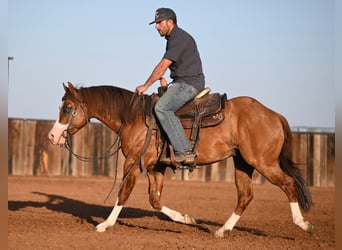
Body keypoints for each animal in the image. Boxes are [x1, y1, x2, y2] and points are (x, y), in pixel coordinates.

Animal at [47, 81, 312, 236]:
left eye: (68, 107)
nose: (52, 135)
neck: (133, 116)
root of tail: (274, 115)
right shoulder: (155, 168)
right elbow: (155, 200)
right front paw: (186, 219)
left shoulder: (133, 164)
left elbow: (123, 193)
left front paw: (105, 224)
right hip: (243, 163)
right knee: (245, 195)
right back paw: (222, 230)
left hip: (263, 162)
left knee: (288, 184)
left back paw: (302, 224)